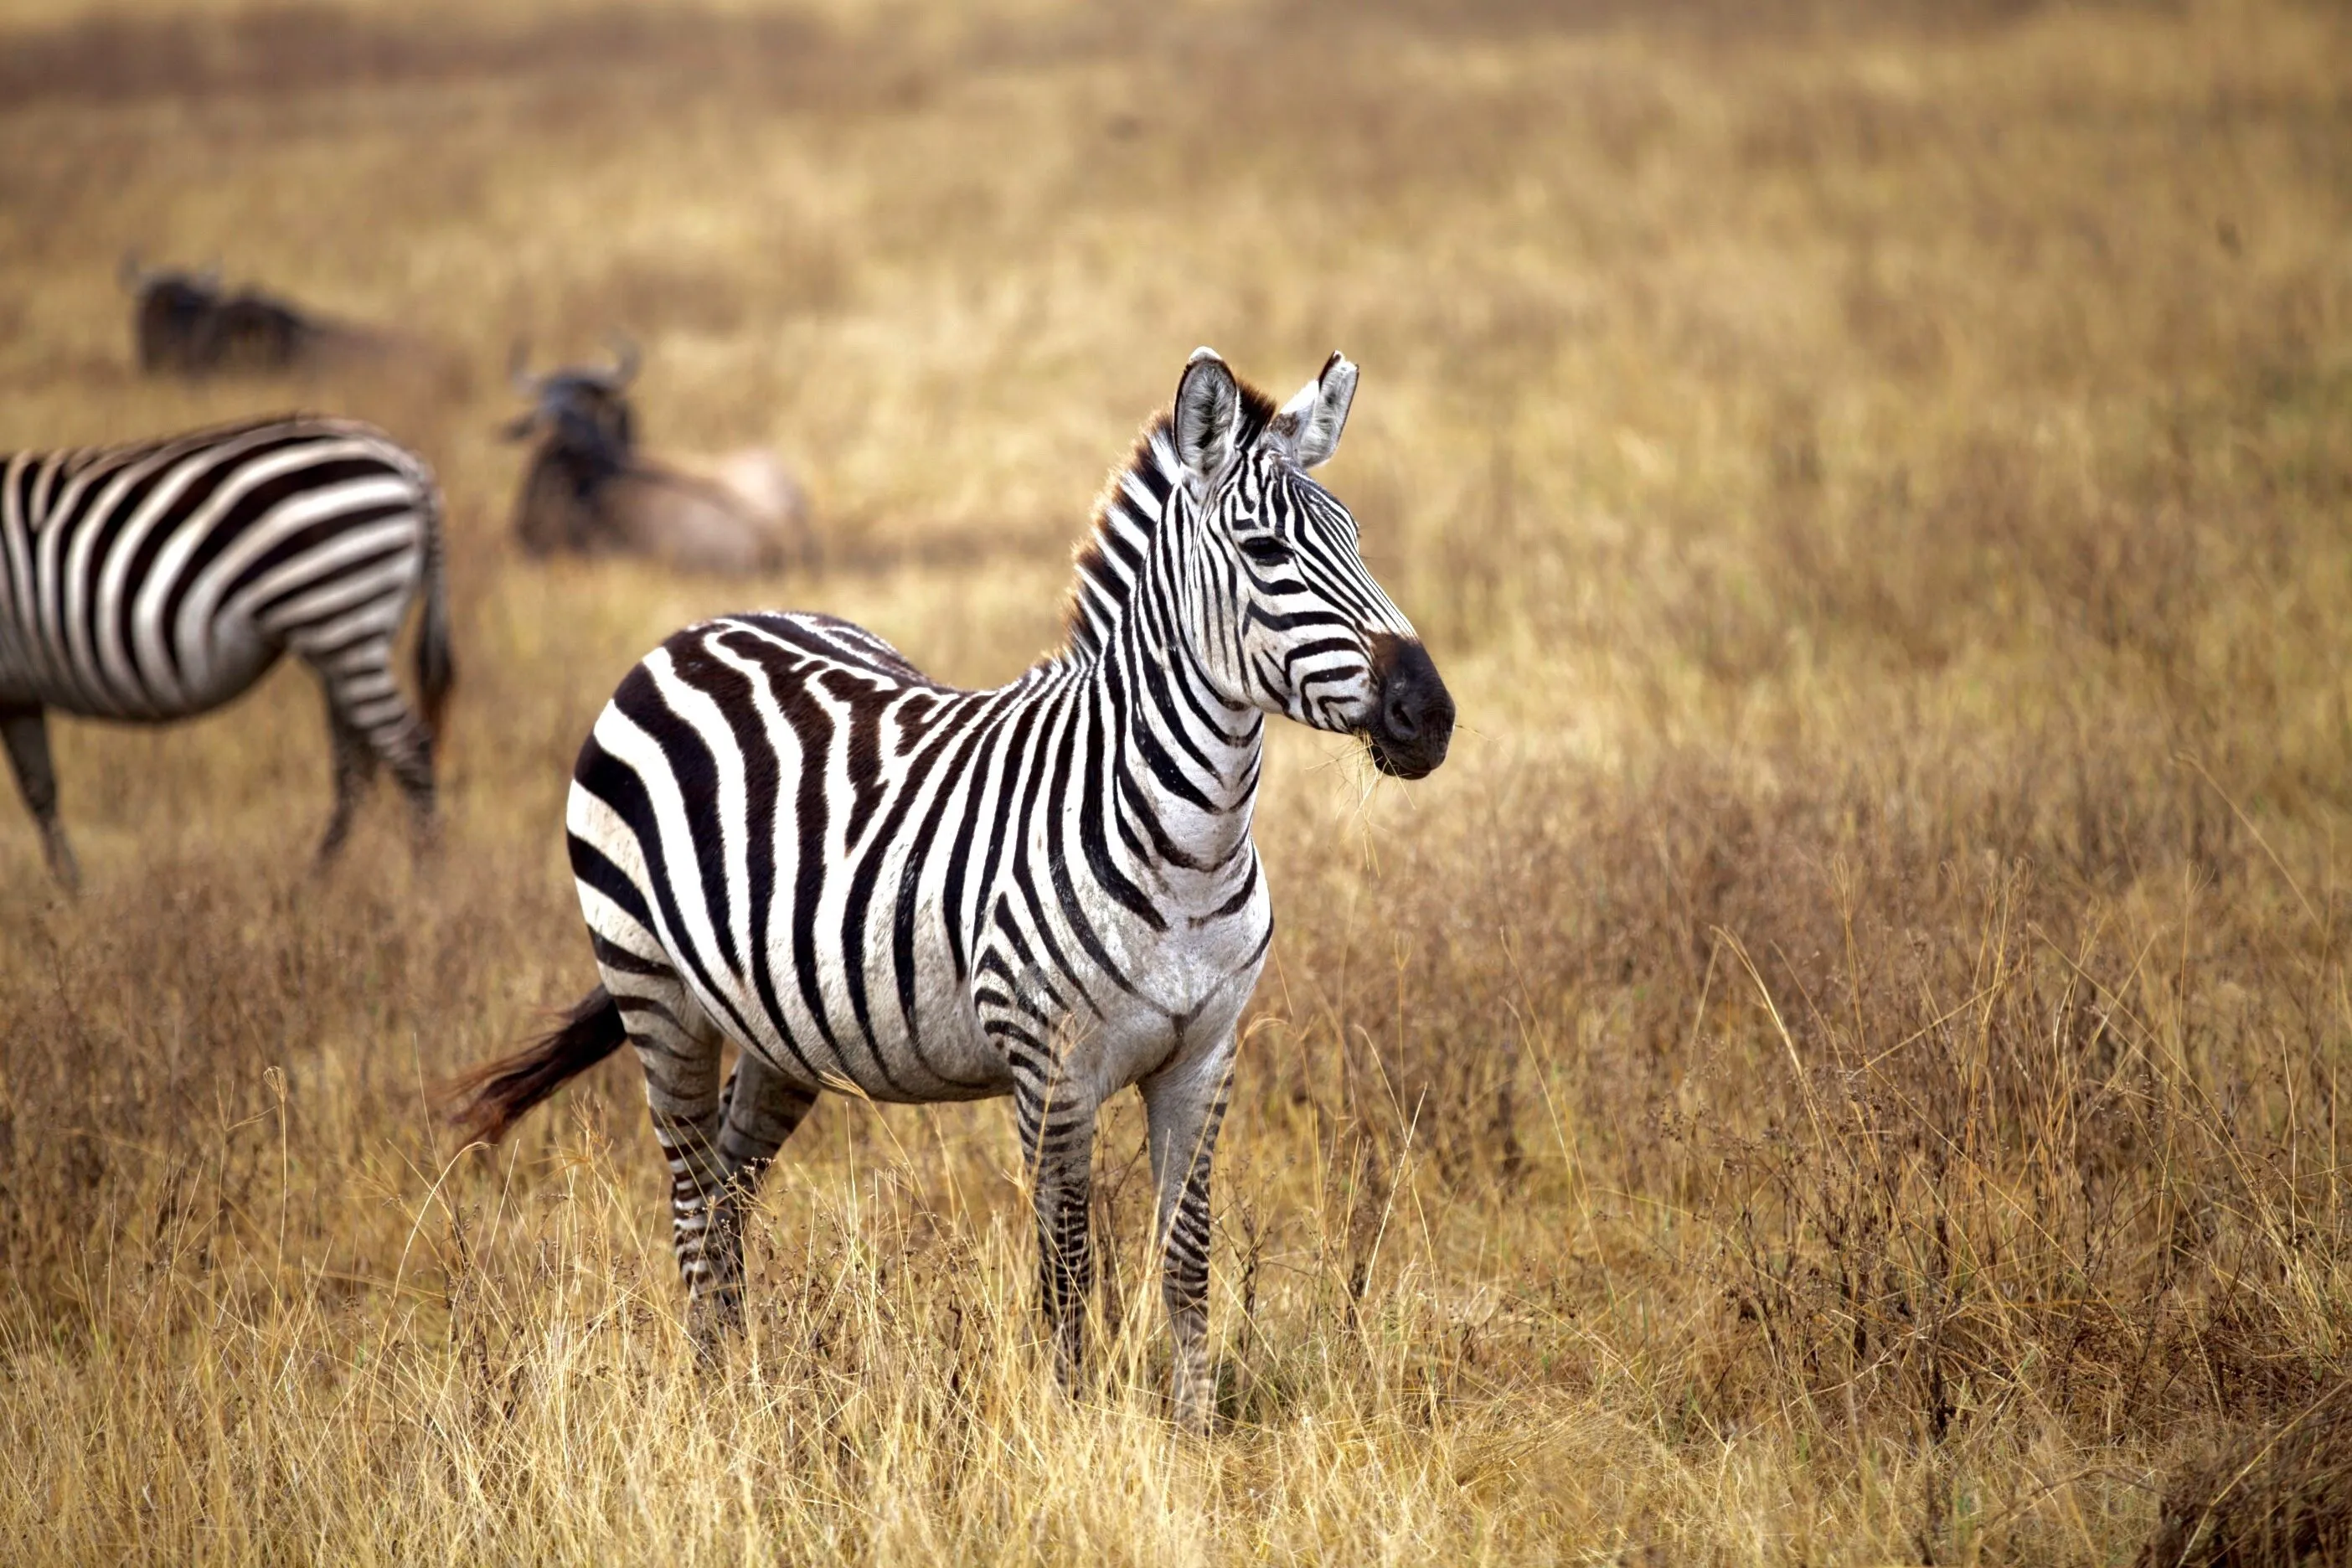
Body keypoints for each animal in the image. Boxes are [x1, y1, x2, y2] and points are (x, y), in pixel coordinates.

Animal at [1, 416, 454, 887]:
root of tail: (407, 465)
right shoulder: (18, 694)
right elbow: (40, 788)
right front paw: (73, 890)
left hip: (337, 616)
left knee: (408, 749)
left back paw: (425, 883)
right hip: (343, 639)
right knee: (356, 765)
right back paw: (317, 883)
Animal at [440, 349, 1453, 1430]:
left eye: (1355, 539)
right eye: (1265, 551)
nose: (1429, 714)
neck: (1193, 847)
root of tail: (698, 632)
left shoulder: (1206, 1058)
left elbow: (1187, 1258)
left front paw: (1190, 1431)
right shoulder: (1050, 1070)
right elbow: (1066, 1267)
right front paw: (1072, 1430)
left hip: (777, 1026)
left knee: (727, 1187)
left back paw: (746, 1387)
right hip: (653, 988)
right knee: (686, 1189)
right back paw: (713, 1394)